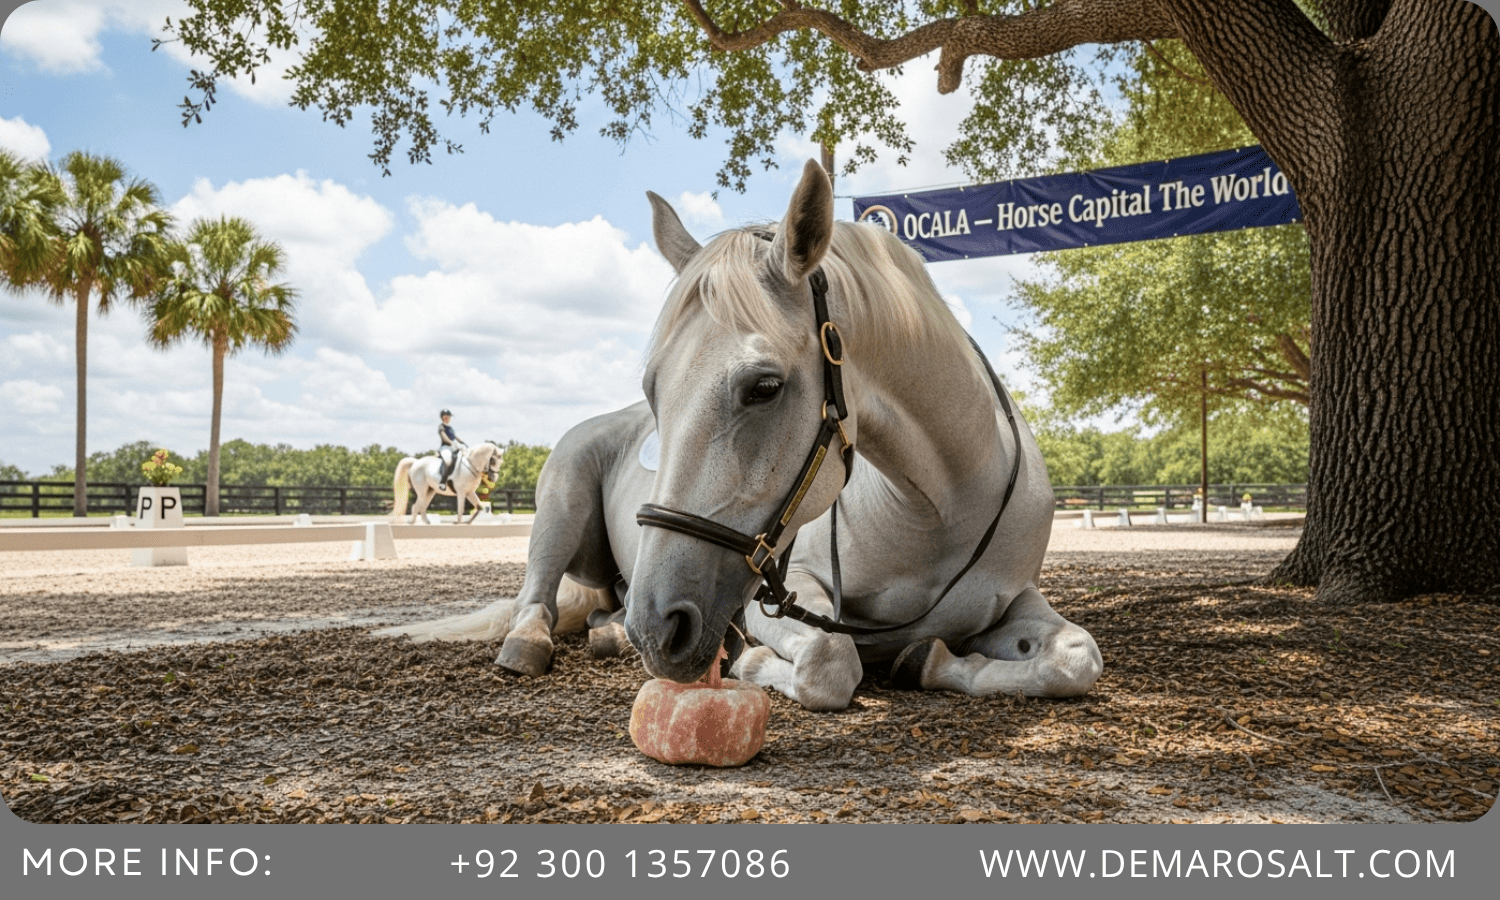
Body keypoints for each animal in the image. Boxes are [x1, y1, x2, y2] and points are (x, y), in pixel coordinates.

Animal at [622, 160, 1102, 710]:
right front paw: (753, 662)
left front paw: (927, 660)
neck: (943, 509)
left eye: (764, 387)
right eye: (652, 390)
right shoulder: (786, 590)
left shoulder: (1017, 596)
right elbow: (828, 659)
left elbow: (1075, 657)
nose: (653, 629)